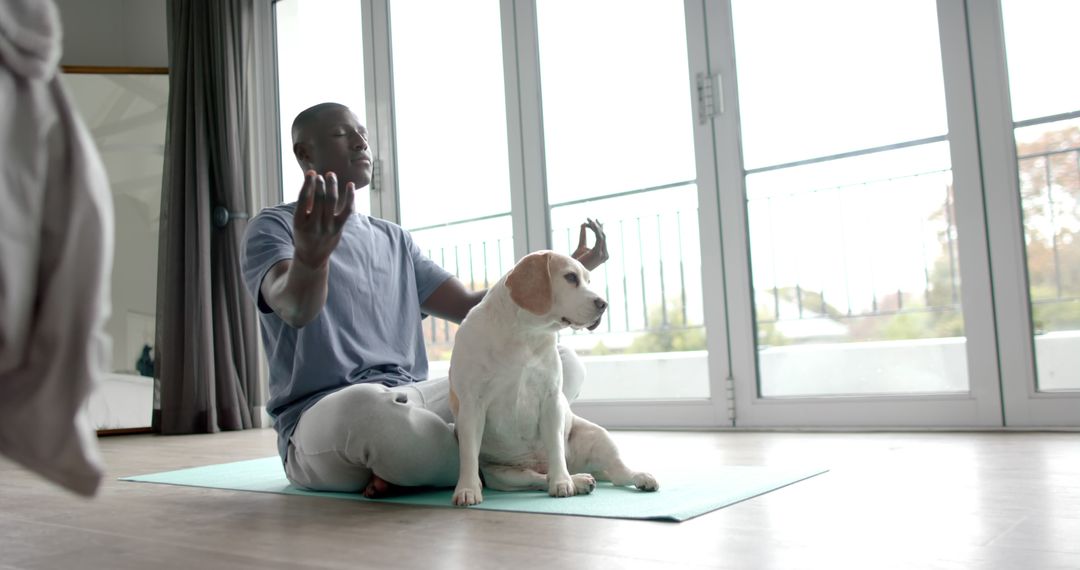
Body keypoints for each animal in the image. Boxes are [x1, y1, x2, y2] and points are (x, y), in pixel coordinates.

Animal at [447, 251, 656, 505]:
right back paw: (579, 481)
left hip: (598, 435)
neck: (525, 334)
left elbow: (555, 447)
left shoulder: (550, 400)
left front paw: (562, 482)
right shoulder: (472, 405)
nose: (603, 304)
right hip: (504, 476)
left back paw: (634, 477)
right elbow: (468, 454)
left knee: (618, 473)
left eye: (588, 280)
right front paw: (467, 488)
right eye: (570, 277)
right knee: (537, 478)